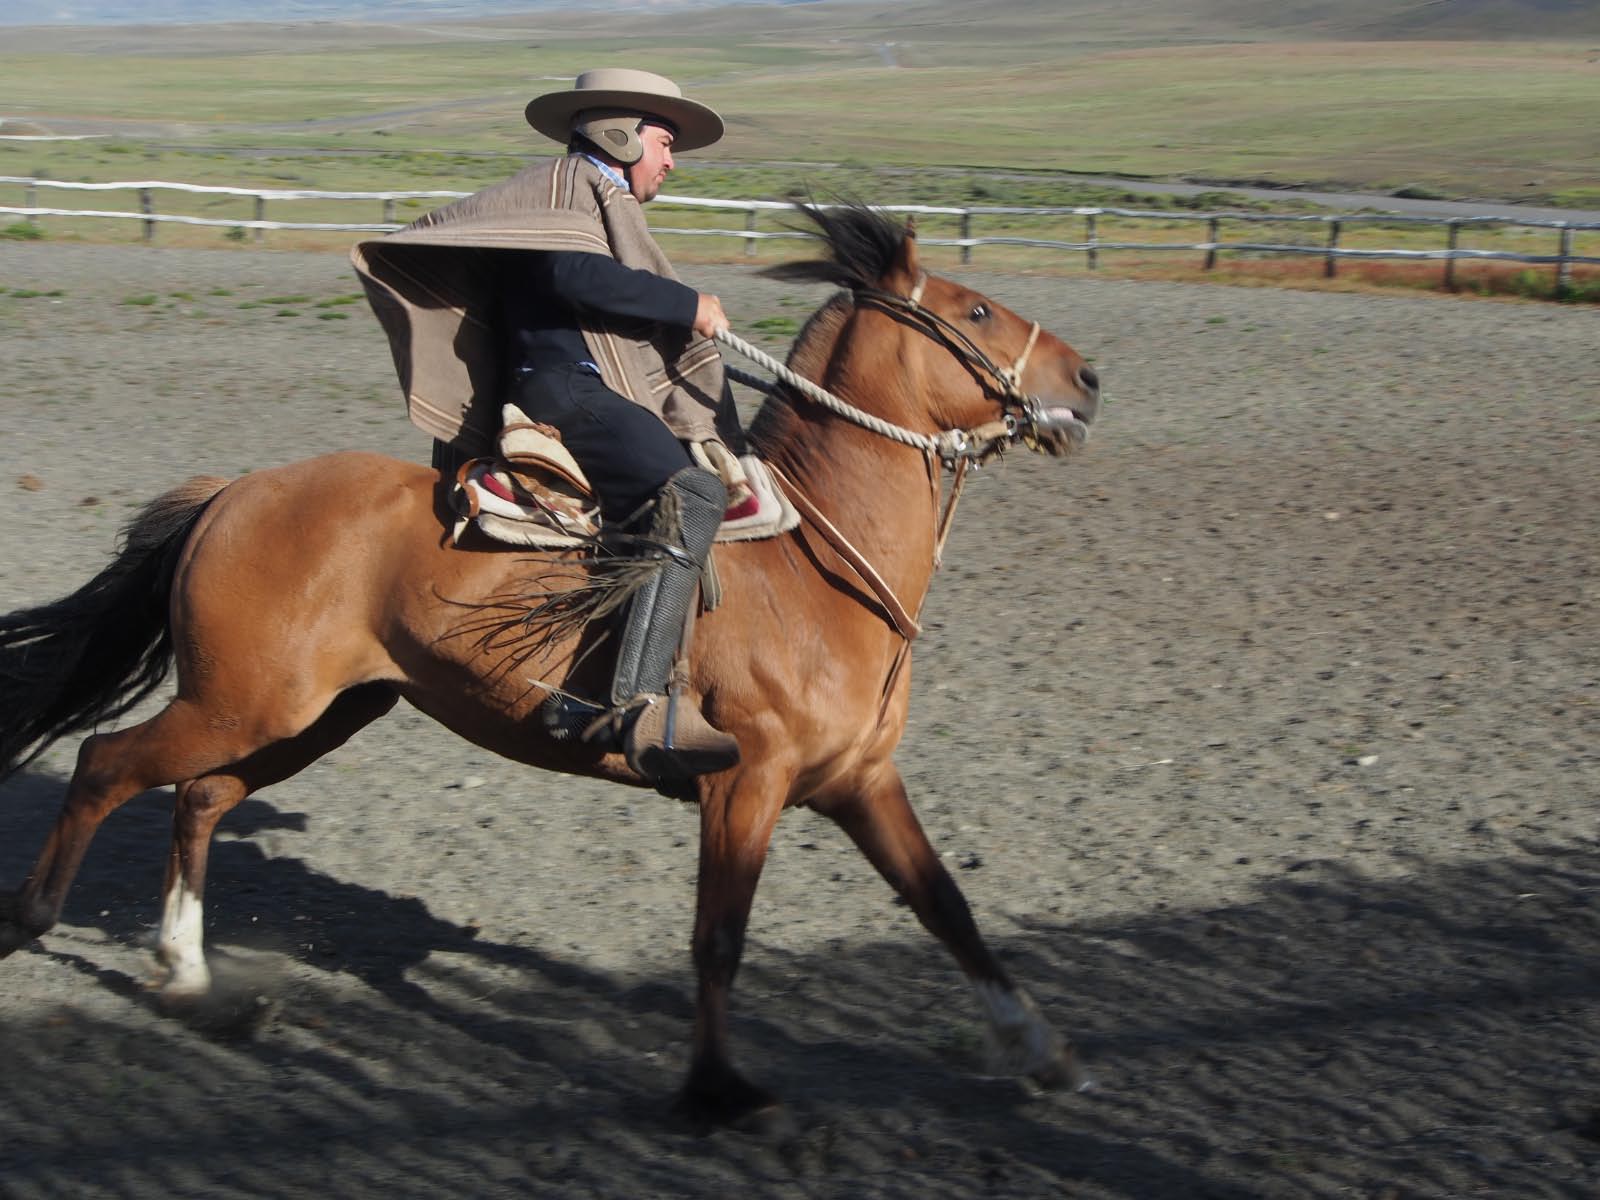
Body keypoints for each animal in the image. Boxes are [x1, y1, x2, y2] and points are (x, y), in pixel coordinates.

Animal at [0, 206, 1100, 1139]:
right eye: (974, 309)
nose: (1088, 379)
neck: (811, 561)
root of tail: (234, 493)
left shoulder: (858, 781)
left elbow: (945, 905)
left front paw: (1040, 1048)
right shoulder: (745, 784)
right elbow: (719, 938)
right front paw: (718, 1089)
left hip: (311, 713)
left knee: (198, 798)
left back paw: (189, 977)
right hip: (240, 704)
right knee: (107, 763)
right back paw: (36, 920)